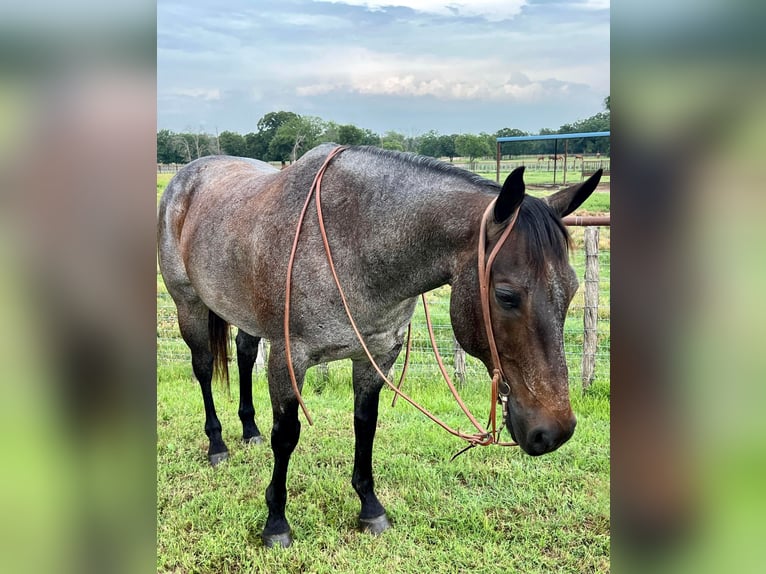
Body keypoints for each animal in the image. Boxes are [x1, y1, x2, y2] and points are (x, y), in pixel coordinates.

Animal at [158, 144, 608, 548]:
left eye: (571, 290)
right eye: (506, 295)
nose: (555, 432)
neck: (353, 240)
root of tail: (187, 177)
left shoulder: (376, 355)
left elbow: (365, 425)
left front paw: (369, 508)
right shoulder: (290, 359)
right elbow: (285, 436)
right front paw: (276, 523)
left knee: (245, 353)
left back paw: (248, 430)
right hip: (188, 305)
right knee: (203, 367)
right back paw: (217, 444)